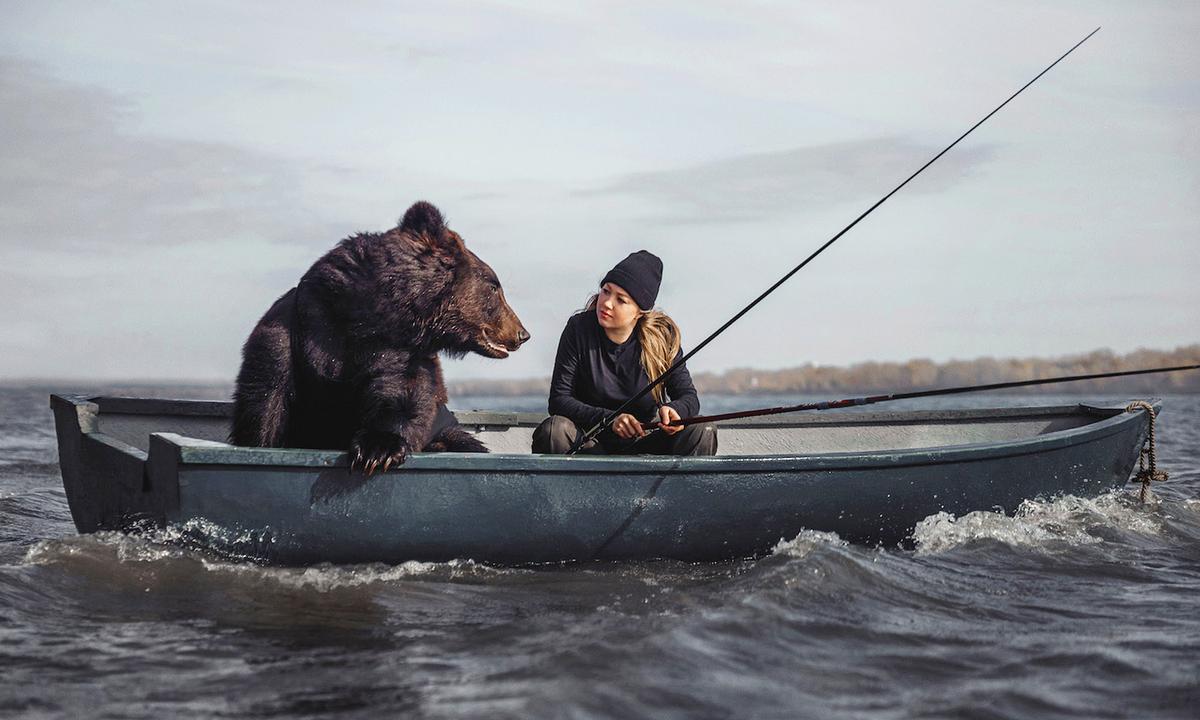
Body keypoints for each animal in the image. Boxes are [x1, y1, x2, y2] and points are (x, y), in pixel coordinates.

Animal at [230, 200, 529, 474]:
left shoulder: (400, 350)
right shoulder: (295, 329)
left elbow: (401, 393)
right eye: (494, 286)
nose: (522, 333)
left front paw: (378, 449)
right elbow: (266, 400)